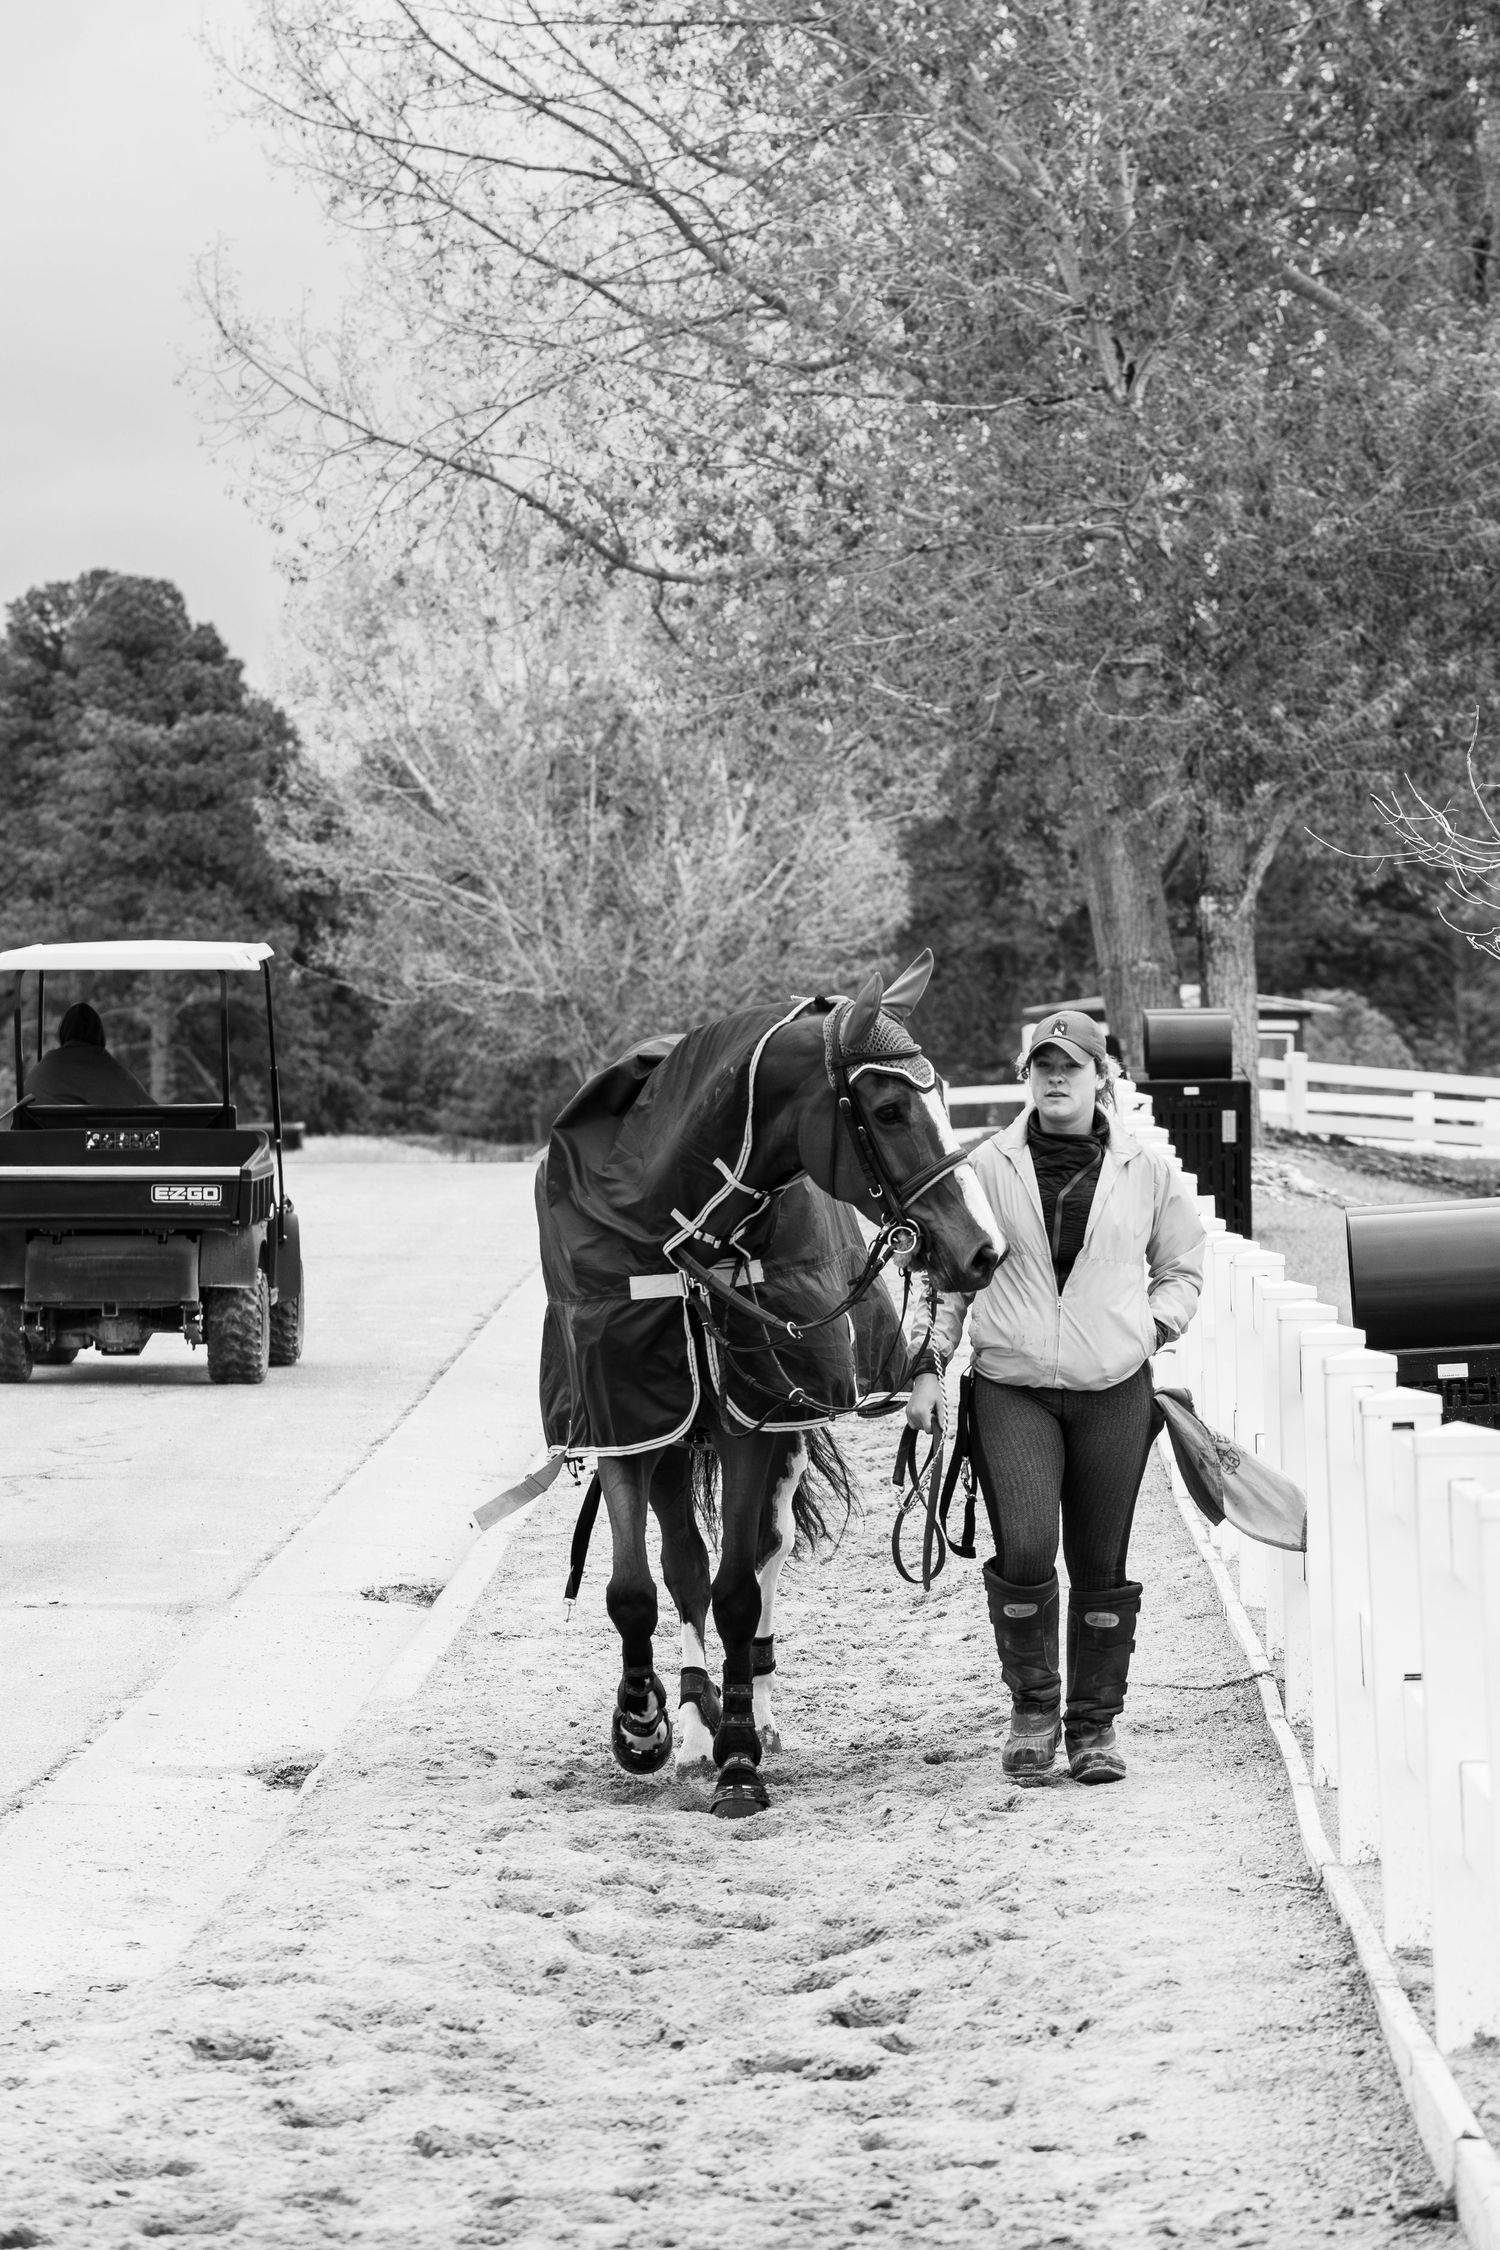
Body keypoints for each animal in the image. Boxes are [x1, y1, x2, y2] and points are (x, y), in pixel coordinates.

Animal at [535, 950, 1004, 1816]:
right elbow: (637, 1588)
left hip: (781, 1430)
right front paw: (645, 1724)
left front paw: (741, 1754)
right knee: (685, 1564)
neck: (682, 1236)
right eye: (889, 1108)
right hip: (676, 1439)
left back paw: (753, 1702)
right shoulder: (628, 1420)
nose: (985, 1250)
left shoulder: (754, 1423)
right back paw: (693, 1712)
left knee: (764, 1553)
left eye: (944, 1096)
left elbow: (740, 1589)